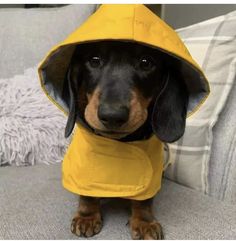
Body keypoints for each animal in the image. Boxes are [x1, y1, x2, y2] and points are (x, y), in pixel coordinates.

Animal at [63, 41, 189, 239]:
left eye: (146, 62)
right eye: (94, 60)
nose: (112, 115)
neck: (119, 143)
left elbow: (144, 199)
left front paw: (145, 222)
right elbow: (87, 190)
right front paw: (87, 216)